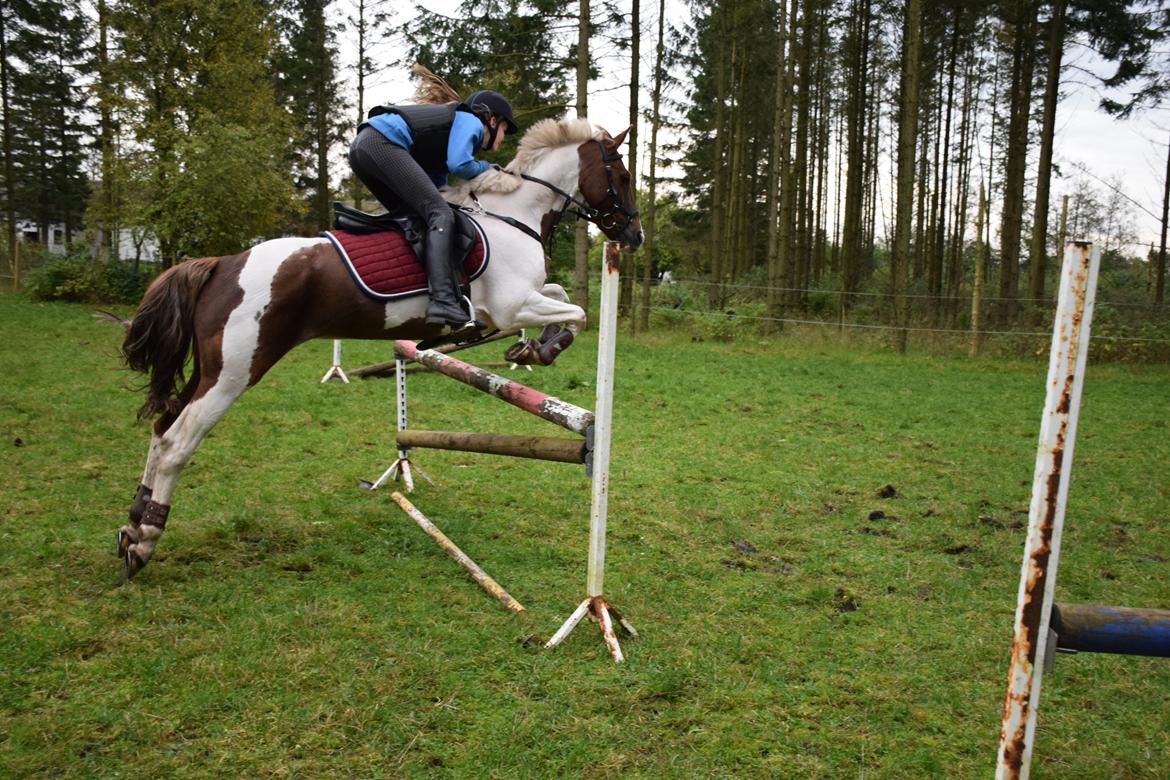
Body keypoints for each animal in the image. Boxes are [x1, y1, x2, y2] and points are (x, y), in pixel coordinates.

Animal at [117, 117, 645, 580]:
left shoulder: (520, 304)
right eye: (621, 176)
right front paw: (541, 349)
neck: (516, 217)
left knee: (161, 428)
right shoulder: (512, 306)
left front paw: (533, 349)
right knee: (177, 442)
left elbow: (562, 297)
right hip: (234, 372)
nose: (634, 236)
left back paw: (131, 530)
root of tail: (223, 264)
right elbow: (578, 311)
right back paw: (146, 541)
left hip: (210, 370)